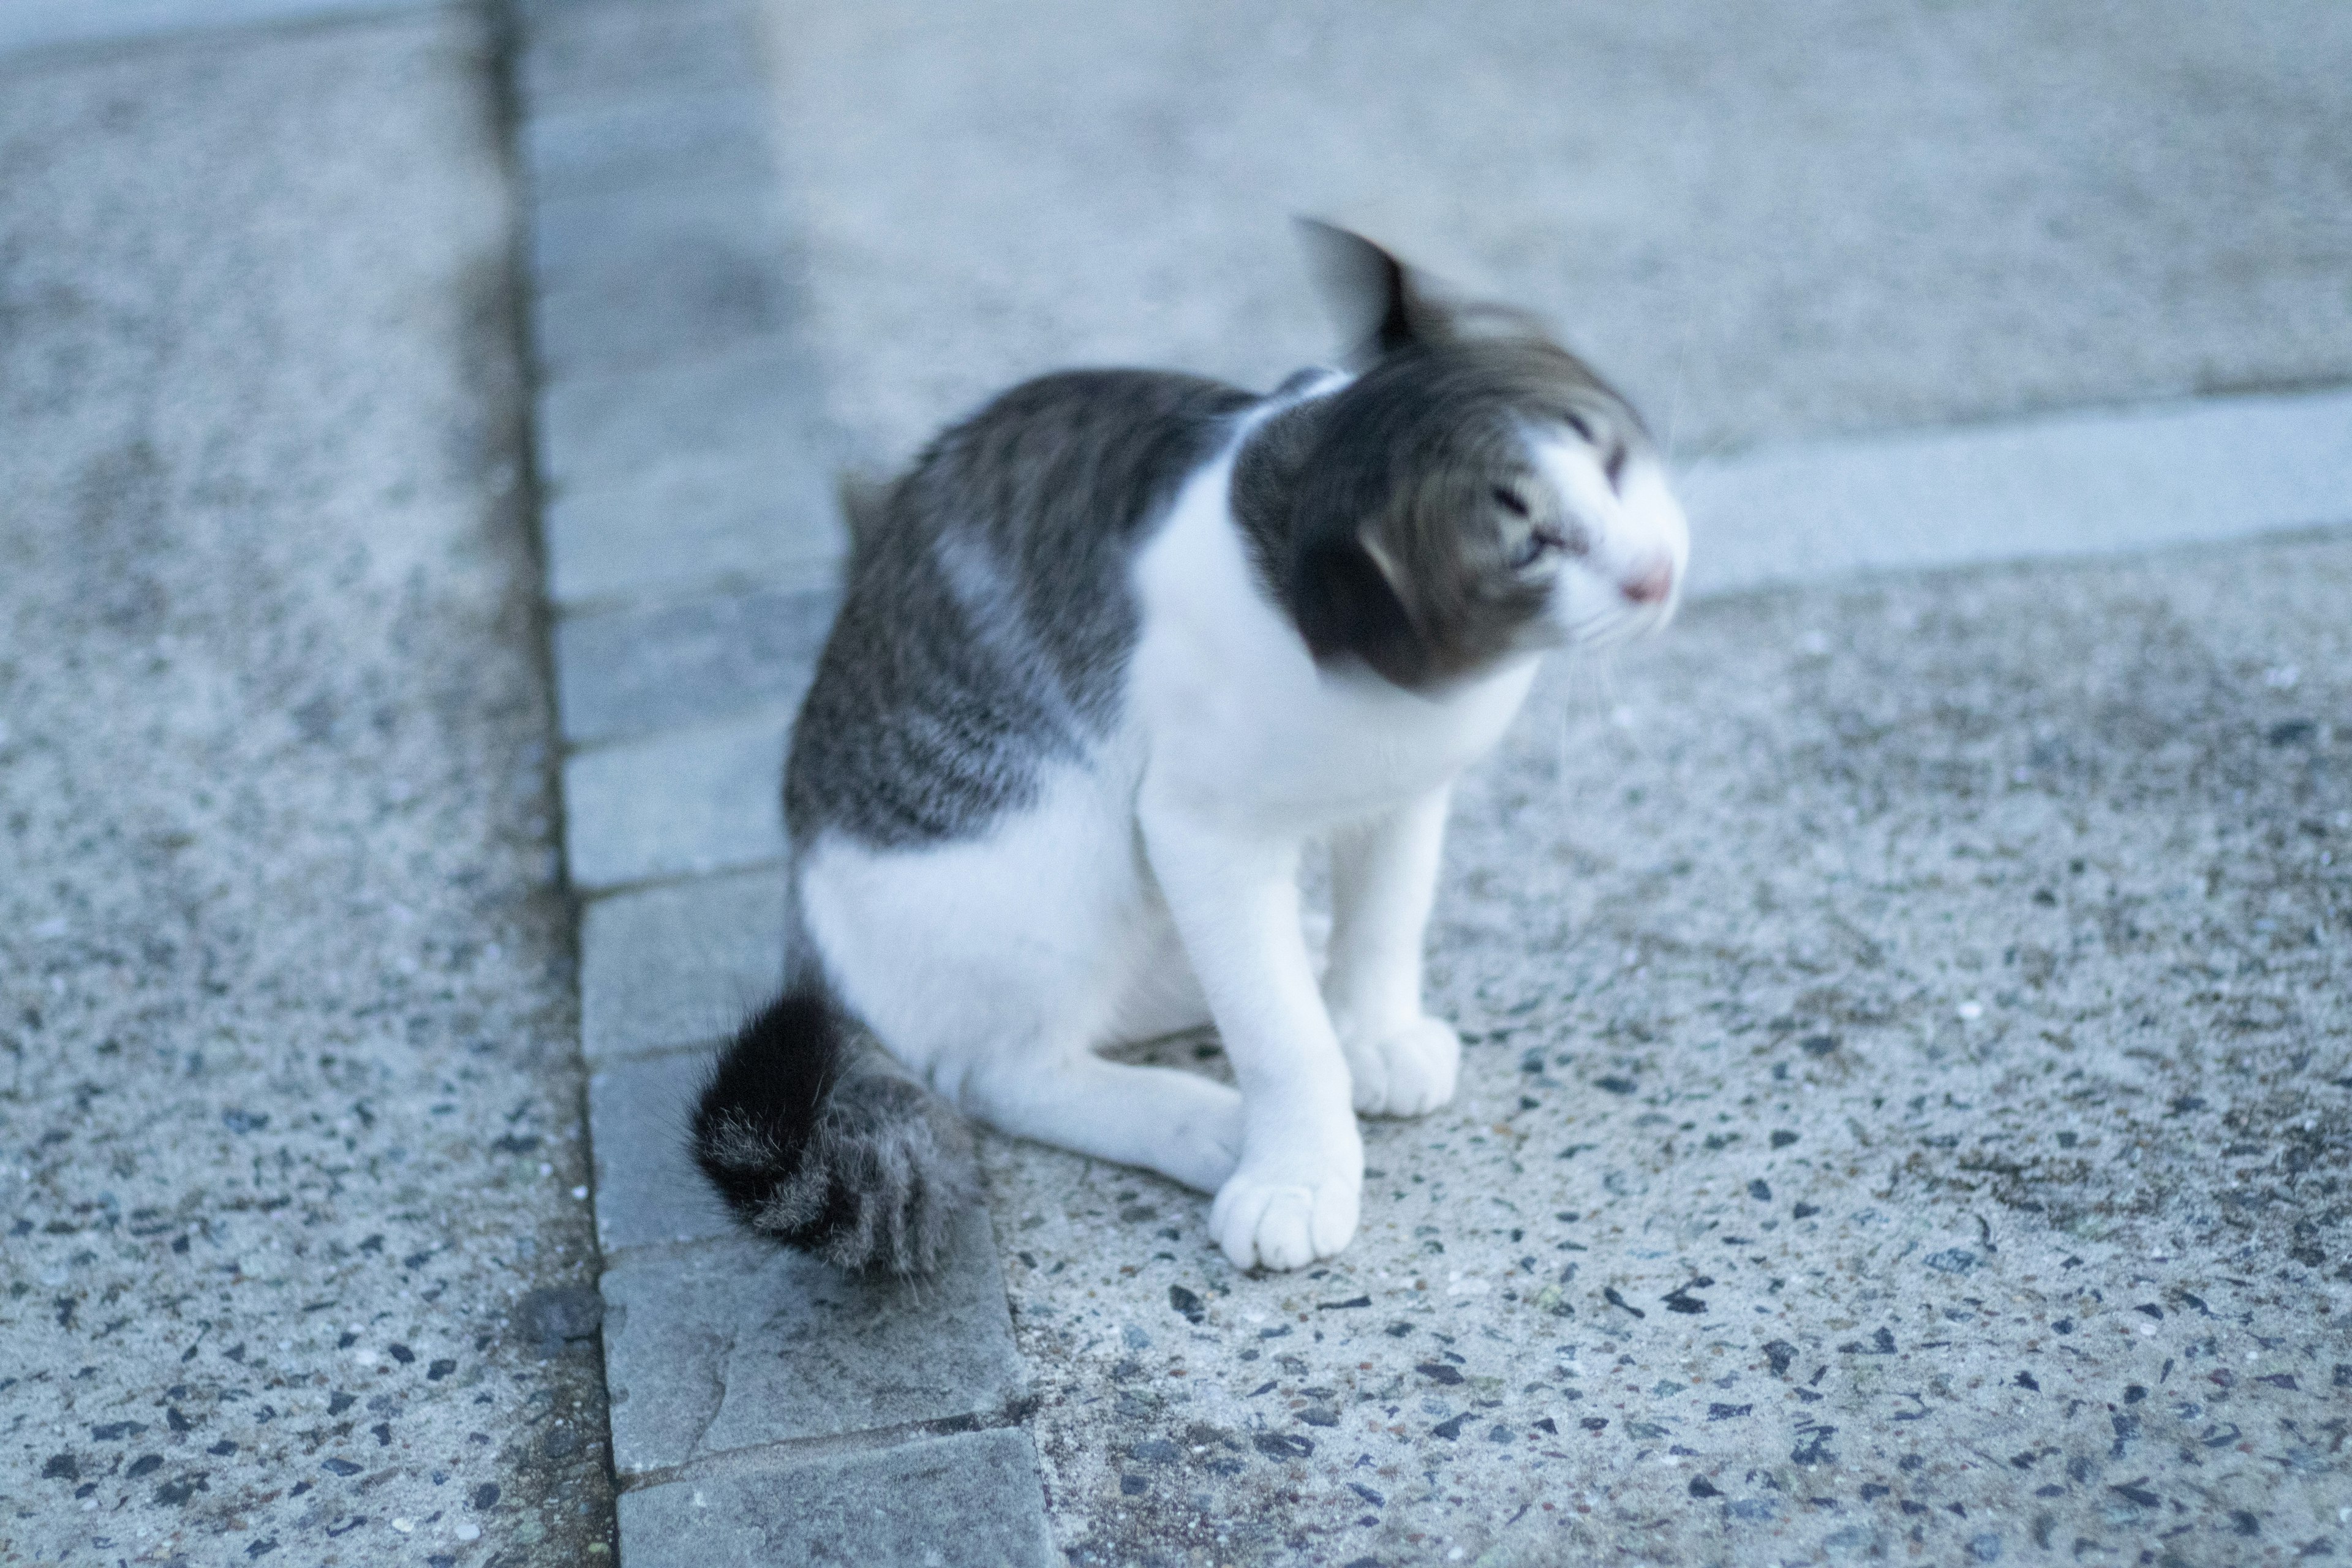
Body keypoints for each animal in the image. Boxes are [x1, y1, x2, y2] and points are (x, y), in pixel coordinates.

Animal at [687, 223, 1684, 1278]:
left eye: (1614, 460)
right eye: (1533, 546)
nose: (1656, 574)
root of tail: (810, 941)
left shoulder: (1408, 794)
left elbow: (1387, 919)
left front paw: (1371, 1026)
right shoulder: (1202, 831)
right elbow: (1277, 1030)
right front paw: (1297, 1167)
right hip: (1042, 856)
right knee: (1001, 1069)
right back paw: (1205, 1121)